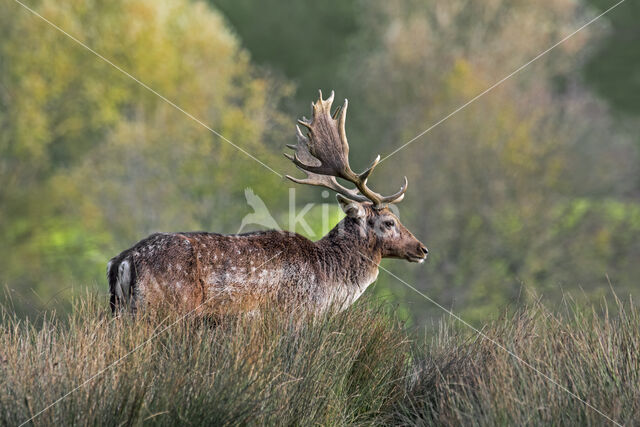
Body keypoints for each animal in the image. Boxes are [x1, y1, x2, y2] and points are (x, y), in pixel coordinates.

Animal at [107, 91, 428, 318]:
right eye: (389, 222)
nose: (422, 249)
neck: (326, 286)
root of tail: (122, 260)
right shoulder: (290, 316)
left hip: (120, 312)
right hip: (165, 308)